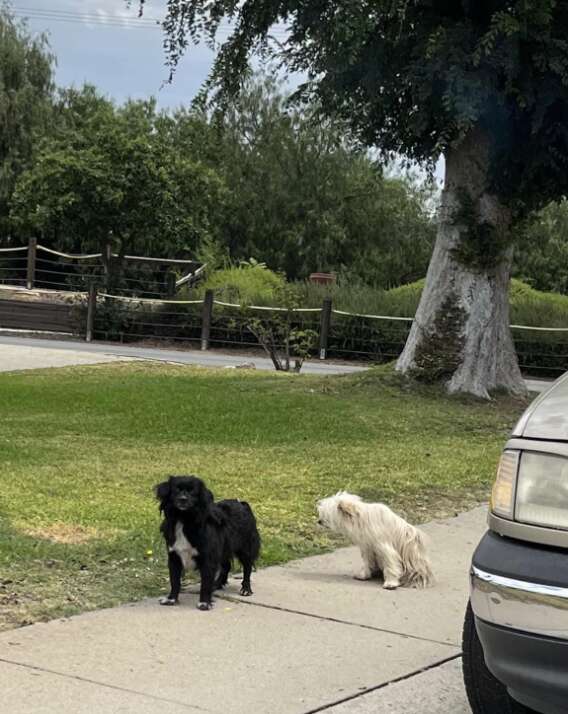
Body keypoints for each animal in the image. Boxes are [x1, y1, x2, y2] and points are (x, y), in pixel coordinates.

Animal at [155, 476, 262, 608]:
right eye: (176, 490)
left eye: (193, 492)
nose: (183, 499)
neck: (183, 519)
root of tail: (241, 504)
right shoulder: (174, 557)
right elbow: (174, 581)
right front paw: (171, 599)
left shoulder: (208, 557)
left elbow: (205, 583)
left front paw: (204, 603)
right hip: (223, 549)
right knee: (226, 565)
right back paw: (217, 584)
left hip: (245, 548)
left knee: (247, 568)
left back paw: (246, 589)